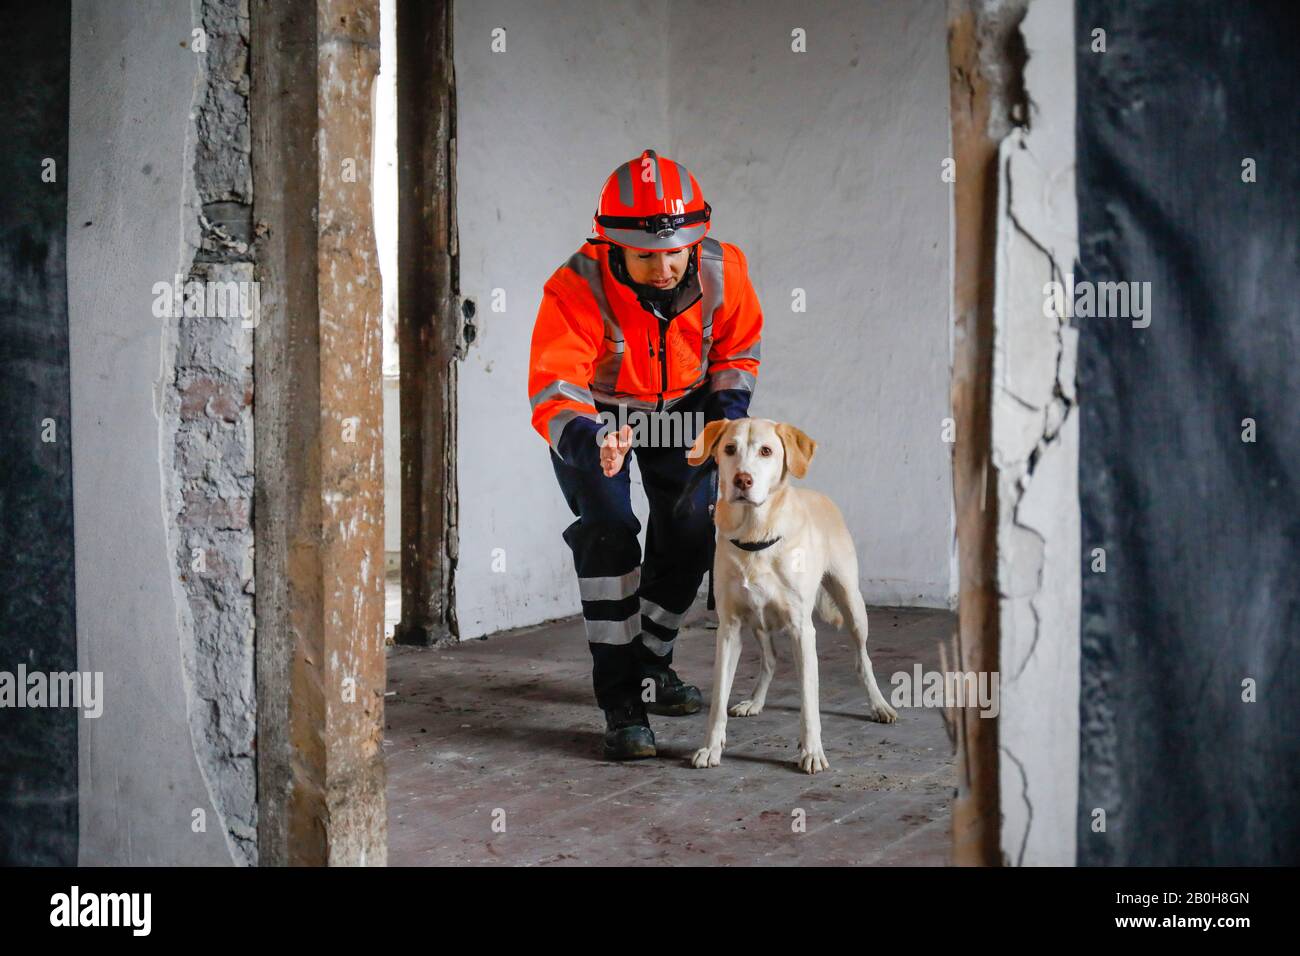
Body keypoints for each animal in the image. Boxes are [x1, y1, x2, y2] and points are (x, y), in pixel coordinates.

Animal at [691, 416, 894, 770]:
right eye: (729, 449)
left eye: (766, 451)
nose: (742, 479)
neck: (755, 534)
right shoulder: (729, 628)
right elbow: (718, 698)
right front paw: (711, 747)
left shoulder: (802, 629)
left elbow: (809, 701)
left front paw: (812, 751)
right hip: (758, 622)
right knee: (770, 659)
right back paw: (754, 702)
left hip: (852, 604)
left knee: (862, 659)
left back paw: (879, 705)